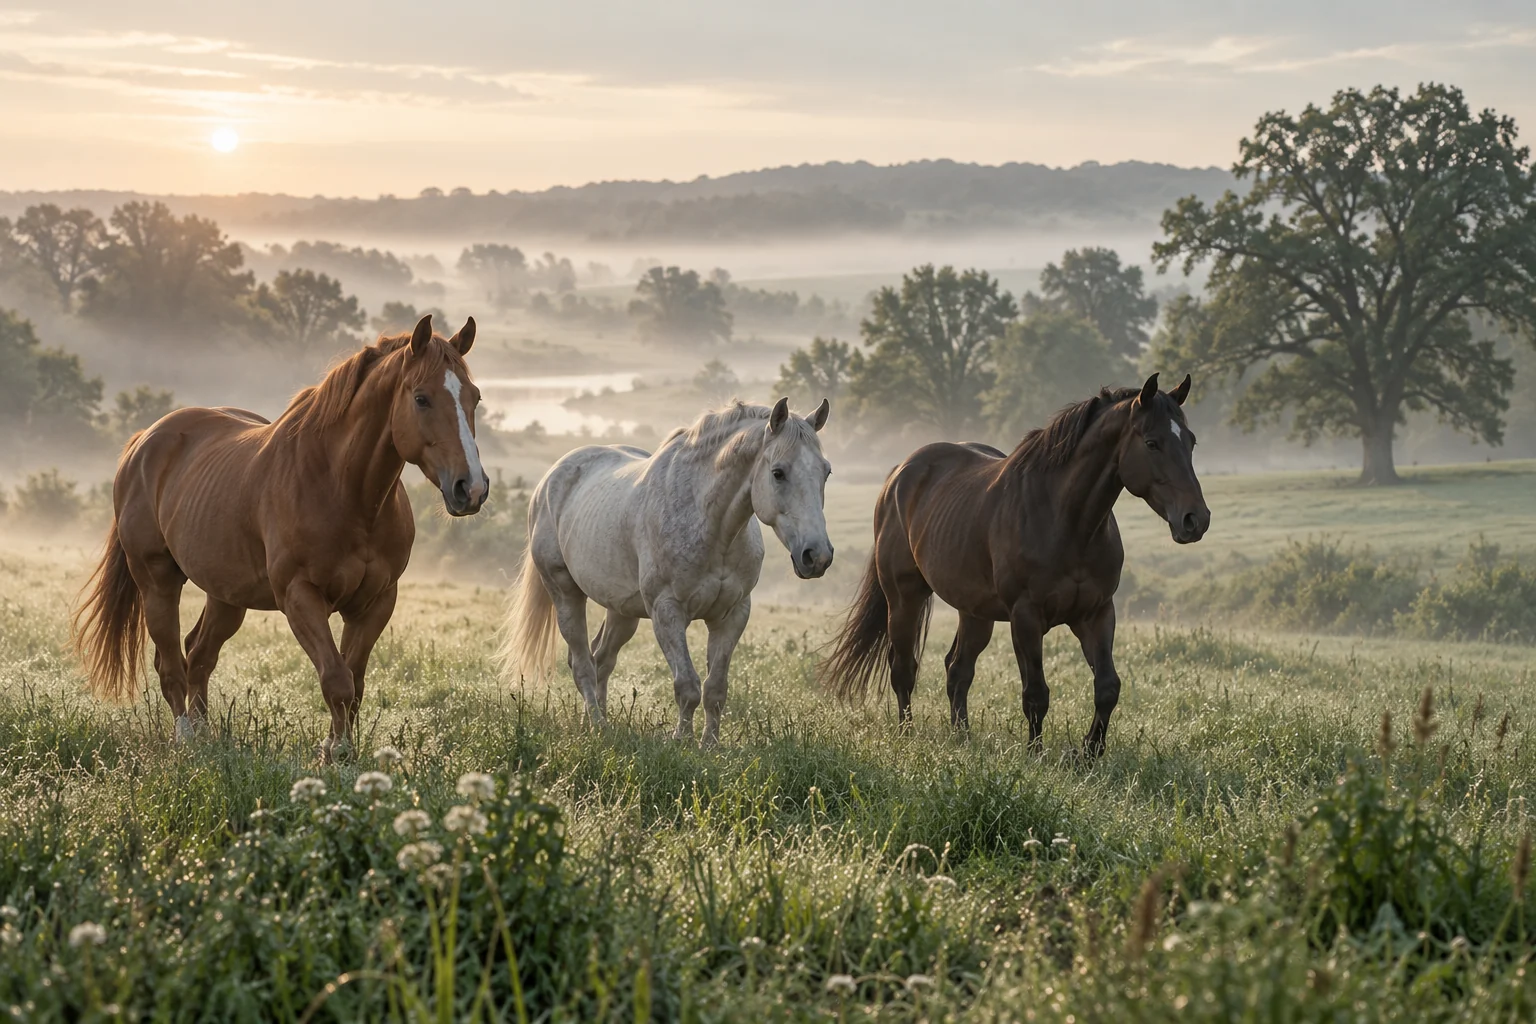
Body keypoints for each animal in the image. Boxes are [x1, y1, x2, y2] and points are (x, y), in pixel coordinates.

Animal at [72, 315, 488, 757]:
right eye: (422, 398)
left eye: (475, 398)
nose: (471, 488)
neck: (343, 489)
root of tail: (145, 441)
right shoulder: (300, 596)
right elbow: (336, 680)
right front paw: (334, 753)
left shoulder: (376, 602)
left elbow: (354, 683)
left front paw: (340, 751)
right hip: (157, 581)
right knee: (170, 665)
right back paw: (186, 740)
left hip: (226, 595)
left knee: (199, 654)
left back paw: (205, 737)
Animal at [500, 398, 834, 746]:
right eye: (778, 473)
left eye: (826, 472)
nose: (817, 556)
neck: (710, 526)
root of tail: (549, 480)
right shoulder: (667, 612)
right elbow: (687, 686)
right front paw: (682, 742)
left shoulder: (732, 615)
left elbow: (715, 689)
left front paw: (710, 745)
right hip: (565, 594)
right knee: (581, 664)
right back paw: (598, 726)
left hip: (622, 612)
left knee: (601, 659)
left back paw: (594, 723)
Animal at [820, 373, 1210, 757]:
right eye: (1152, 443)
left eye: (1191, 442)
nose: (1196, 520)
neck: (1065, 520)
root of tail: (899, 474)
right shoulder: (1026, 616)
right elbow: (1036, 693)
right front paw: (1035, 754)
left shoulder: (1096, 613)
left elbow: (1107, 687)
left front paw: (1089, 752)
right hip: (904, 598)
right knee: (903, 667)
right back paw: (907, 735)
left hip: (975, 612)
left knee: (957, 669)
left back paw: (962, 737)